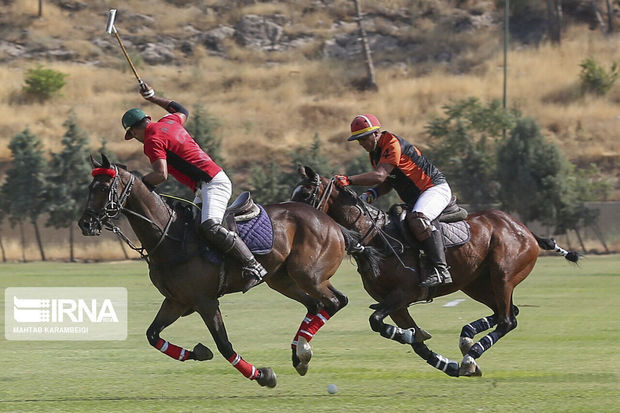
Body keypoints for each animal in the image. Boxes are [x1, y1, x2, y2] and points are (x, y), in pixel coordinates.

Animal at [78, 156, 356, 388]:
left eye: (103, 188)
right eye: (90, 188)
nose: (85, 223)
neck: (170, 237)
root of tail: (333, 223)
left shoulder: (206, 301)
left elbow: (224, 344)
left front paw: (262, 375)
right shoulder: (176, 301)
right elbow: (152, 335)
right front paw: (199, 352)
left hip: (309, 275)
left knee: (335, 301)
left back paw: (302, 351)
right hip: (282, 280)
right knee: (315, 305)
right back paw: (299, 354)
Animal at [294, 165, 580, 376]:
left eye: (306, 194)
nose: (295, 215)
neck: (376, 237)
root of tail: (525, 230)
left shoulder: (403, 294)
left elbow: (377, 321)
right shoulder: (396, 305)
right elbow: (416, 343)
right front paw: (444, 362)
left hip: (503, 276)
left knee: (507, 319)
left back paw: (470, 355)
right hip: (476, 284)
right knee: (508, 313)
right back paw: (467, 340)